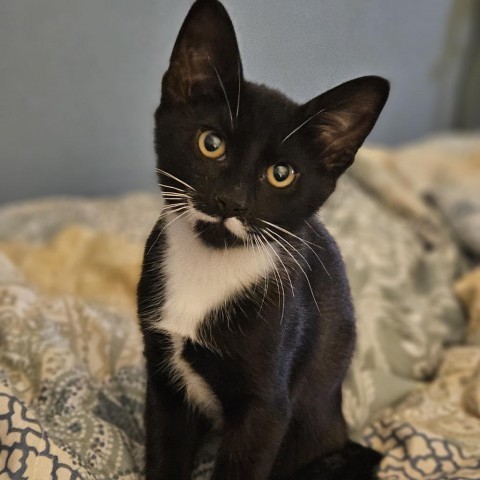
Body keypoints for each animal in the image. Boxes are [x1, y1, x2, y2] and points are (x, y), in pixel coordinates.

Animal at [136, 1, 390, 478]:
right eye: (211, 143)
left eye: (282, 174)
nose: (230, 200)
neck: (211, 259)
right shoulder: (163, 382)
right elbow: (165, 452)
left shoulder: (267, 406)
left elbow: (244, 460)